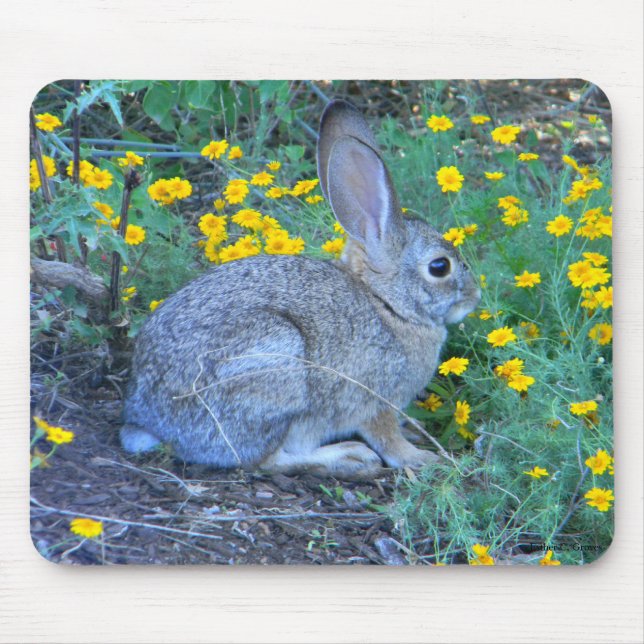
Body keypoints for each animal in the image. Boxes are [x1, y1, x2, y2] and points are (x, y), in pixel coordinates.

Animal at [120, 99, 480, 480]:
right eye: (440, 267)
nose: (474, 297)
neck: (386, 304)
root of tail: (149, 422)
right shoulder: (377, 399)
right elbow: (387, 438)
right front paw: (423, 459)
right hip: (274, 369)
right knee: (265, 460)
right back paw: (348, 456)